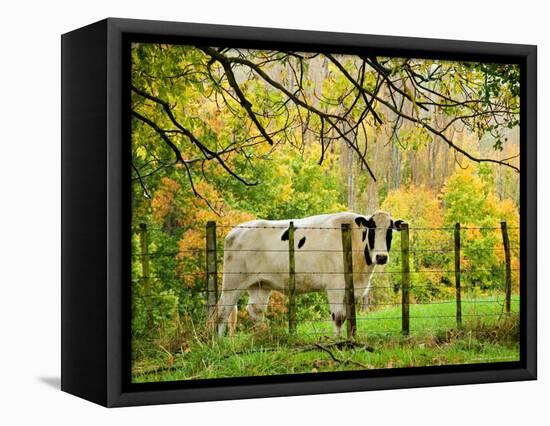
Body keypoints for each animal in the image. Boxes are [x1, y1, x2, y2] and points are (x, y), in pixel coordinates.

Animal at [210, 210, 406, 336]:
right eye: (371, 230)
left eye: (390, 231)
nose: (381, 257)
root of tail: (235, 230)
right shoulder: (335, 286)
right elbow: (338, 317)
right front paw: (338, 342)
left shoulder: (352, 289)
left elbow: (348, 316)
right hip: (233, 281)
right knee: (221, 312)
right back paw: (219, 344)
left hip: (260, 284)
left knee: (255, 310)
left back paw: (263, 337)